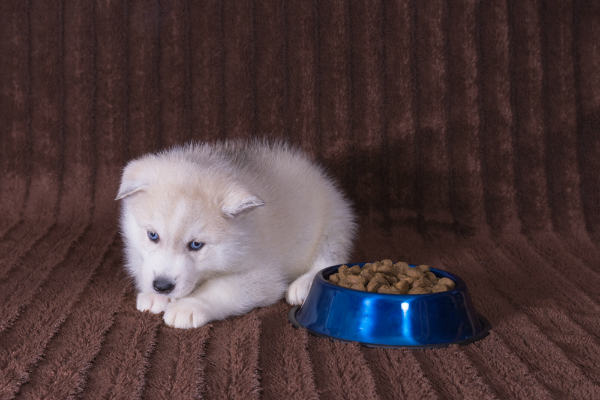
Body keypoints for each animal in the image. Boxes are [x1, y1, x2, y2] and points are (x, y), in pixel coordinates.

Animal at [116, 140, 356, 328]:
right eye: (152, 235)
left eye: (196, 245)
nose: (162, 286)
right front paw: (153, 296)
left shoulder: (265, 276)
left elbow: (222, 288)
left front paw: (190, 305)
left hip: (334, 224)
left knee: (328, 258)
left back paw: (304, 285)